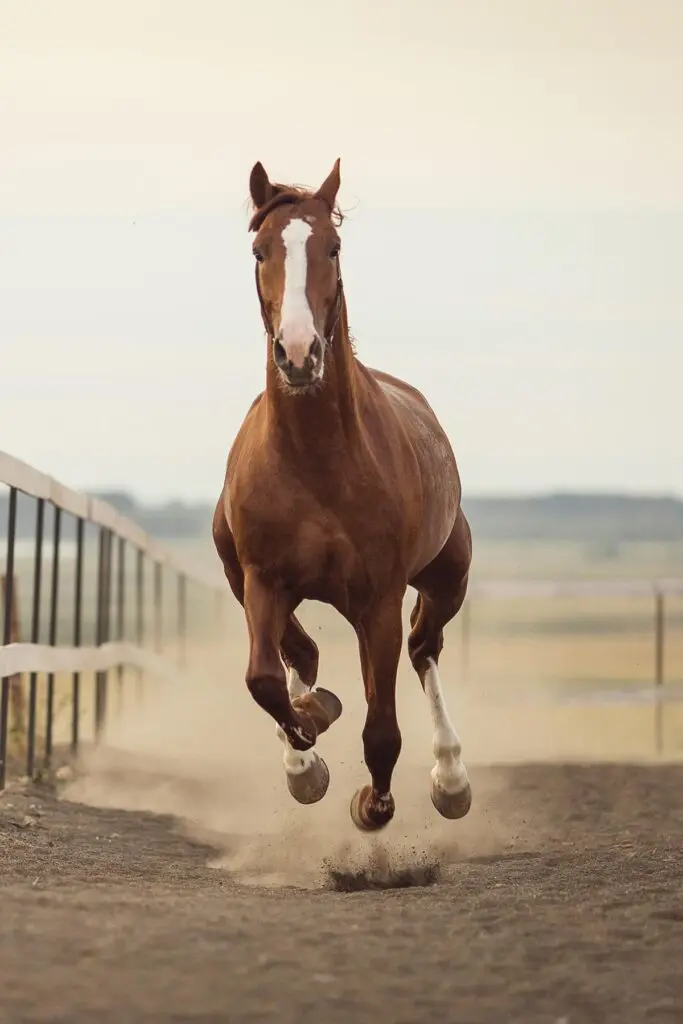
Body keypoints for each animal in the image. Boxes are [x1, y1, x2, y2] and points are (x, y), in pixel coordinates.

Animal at [212, 159, 473, 831]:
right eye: (259, 250)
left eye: (332, 247)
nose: (300, 353)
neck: (316, 462)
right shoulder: (262, 579)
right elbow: (265, 679)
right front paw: (308, 752)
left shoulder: (380, 597)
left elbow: (382, 729)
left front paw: (373, 806)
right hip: (241, 576)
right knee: (298, 654)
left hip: (444, 580)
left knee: (424, 649)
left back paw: (451, 778)